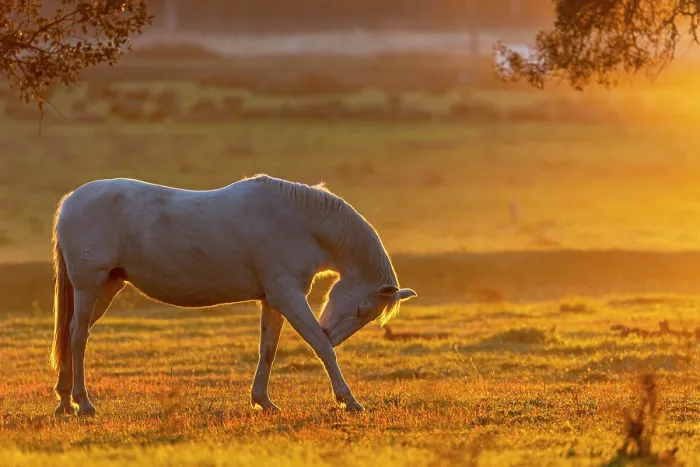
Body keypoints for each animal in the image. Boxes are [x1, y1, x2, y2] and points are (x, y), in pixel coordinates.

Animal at [49, 174, 417, 416]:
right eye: (361, 311)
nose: (330, 331)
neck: (298, 221)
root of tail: (70, 202)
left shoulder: (273, 300)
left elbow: (268, 350)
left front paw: (262, 401)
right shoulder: (288, 297)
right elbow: (321, 348)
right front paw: (348, 400)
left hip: (107, 287)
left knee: (72, 333)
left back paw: (65, 400)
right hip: (89, 286)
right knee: (78, 336)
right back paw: (83, 403)